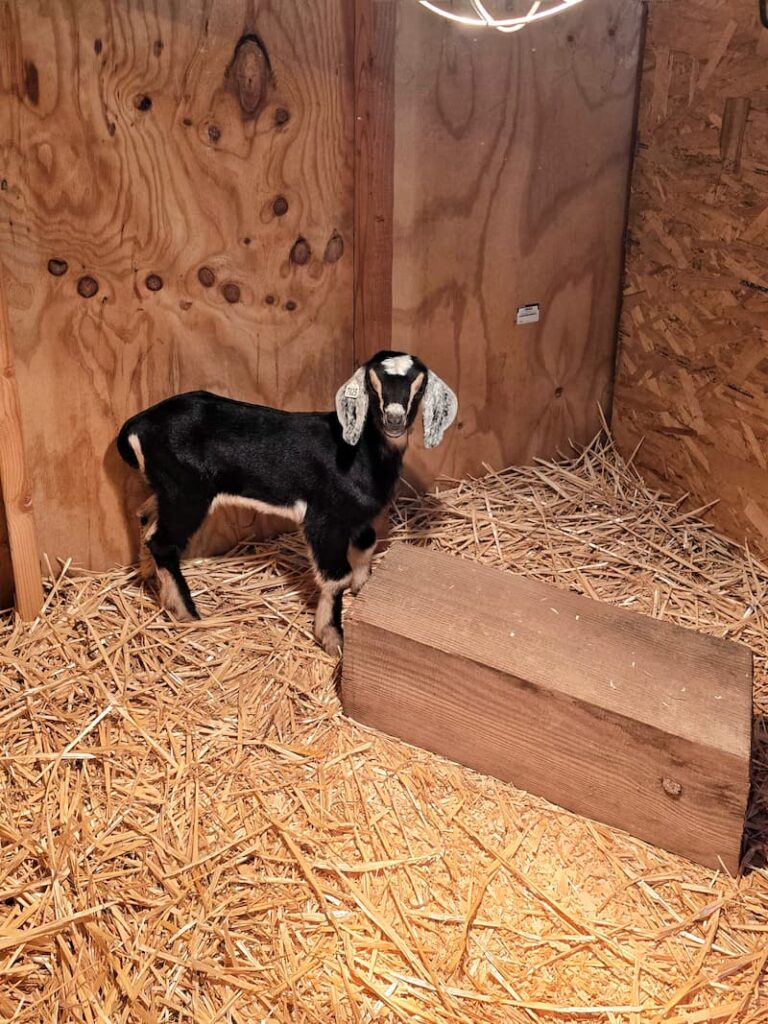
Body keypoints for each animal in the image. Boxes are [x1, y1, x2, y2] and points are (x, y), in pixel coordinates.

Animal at [116, 350, 458, 654]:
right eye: (372, 385)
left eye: (419, 385)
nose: (394, 419)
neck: (361, 452)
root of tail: (138, 424)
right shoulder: (324, 519)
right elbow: (336, 577)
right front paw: (331, 638)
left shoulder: (356, 517)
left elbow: (367, 543)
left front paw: (363, 587)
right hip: (187, 492)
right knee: (163, 542)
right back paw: (186, 612)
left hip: (165, 489)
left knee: (146, 520)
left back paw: (153, 582)